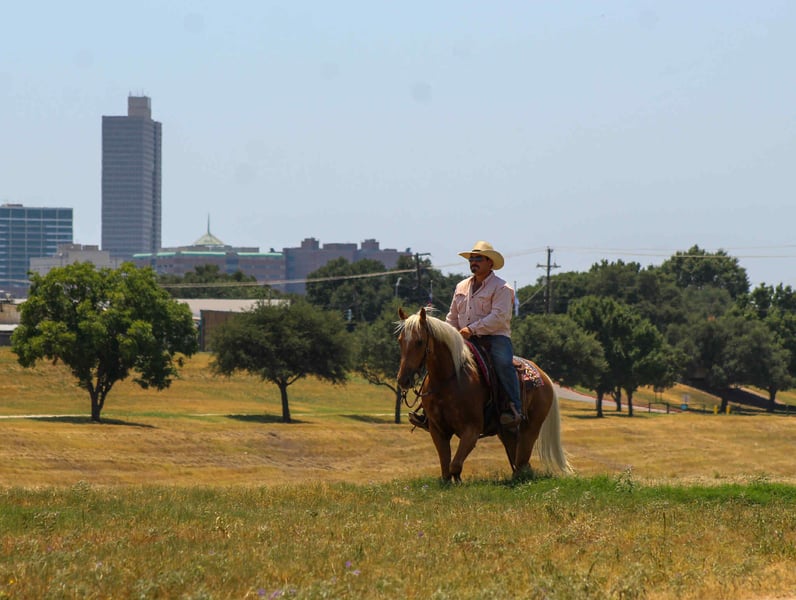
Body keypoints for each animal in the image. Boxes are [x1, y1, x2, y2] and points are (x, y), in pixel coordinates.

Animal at [396, 307, 571, 482]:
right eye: (400, 341)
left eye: (419, 341)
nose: (403, 379)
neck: (449, 380)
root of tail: (544, 376)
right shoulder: (437, 430)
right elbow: (446, 468)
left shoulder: (472, 430)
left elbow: (455, 465)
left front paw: (458, 481)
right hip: (507, 432)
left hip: (531, 428)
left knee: (522, 459)